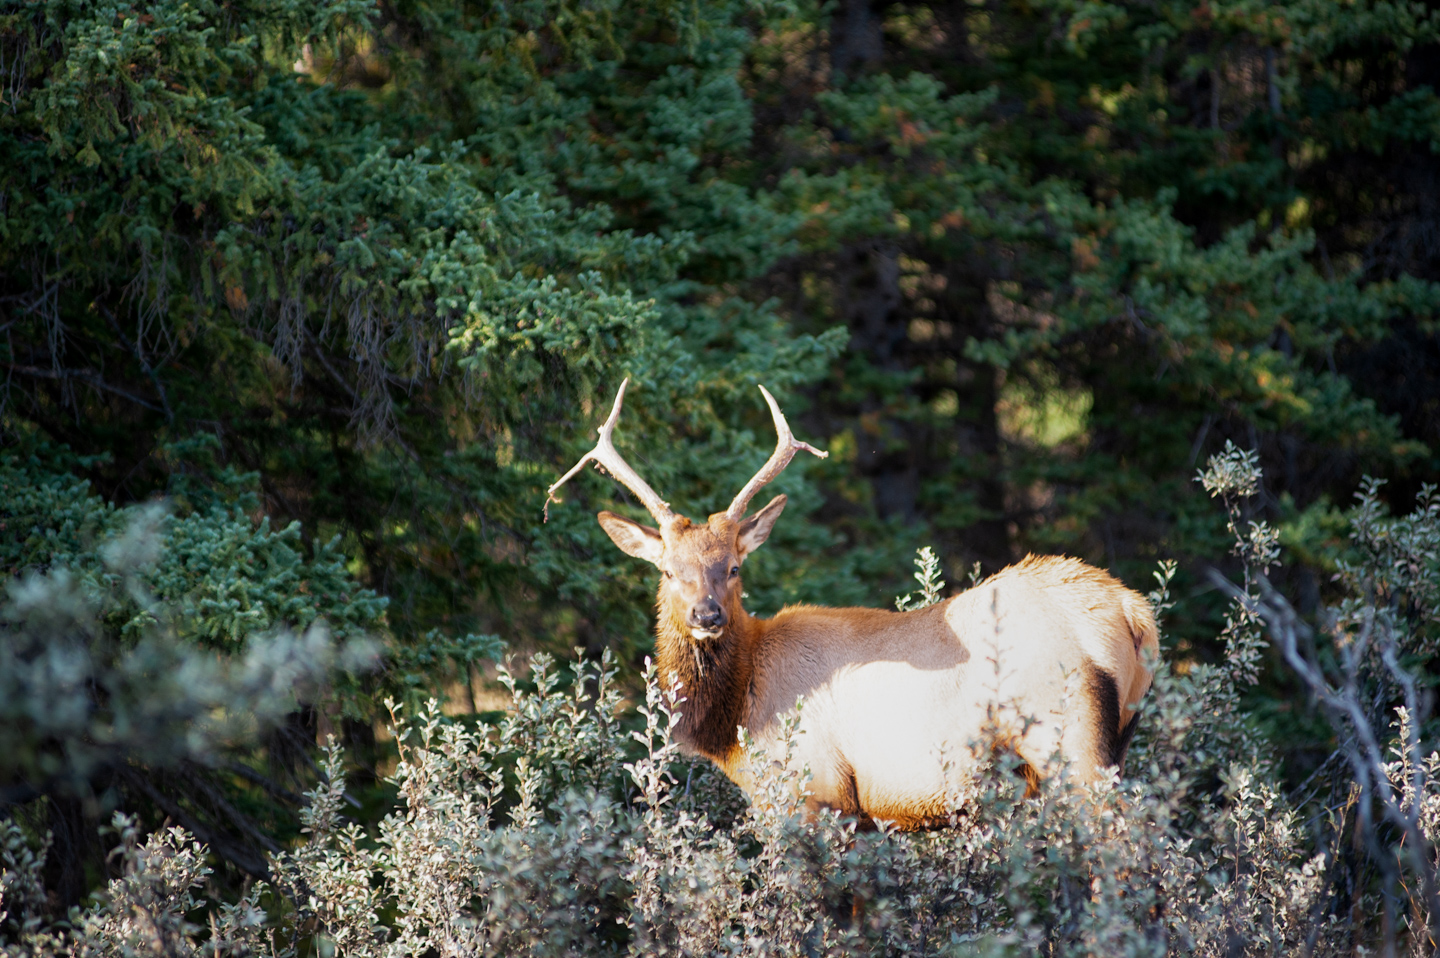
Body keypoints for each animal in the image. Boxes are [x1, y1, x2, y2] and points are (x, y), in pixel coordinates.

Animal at [547, 377, 1157, 824]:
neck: (736, 718)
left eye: (734, 567)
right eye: (669, 571)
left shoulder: (809, 790)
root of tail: (1132, 612)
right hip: (1116, 741)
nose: (707, 614)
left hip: (1069, 739)